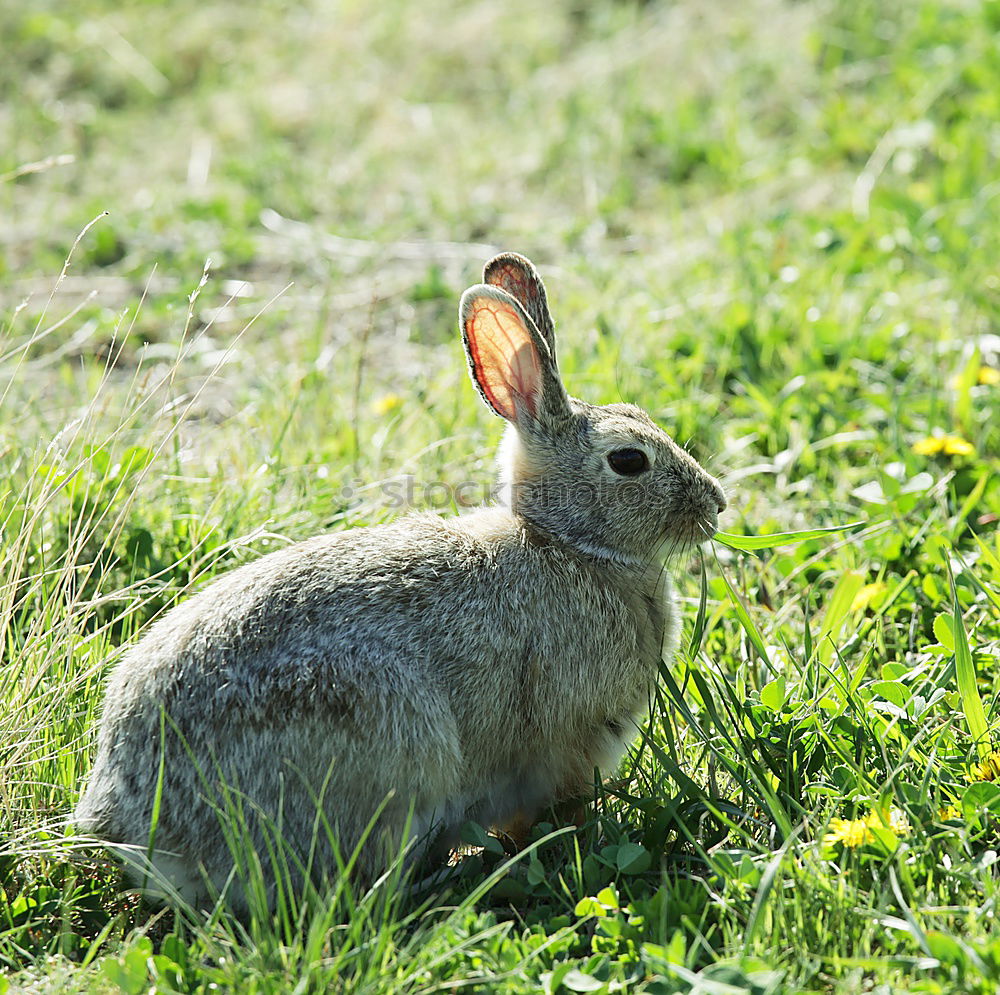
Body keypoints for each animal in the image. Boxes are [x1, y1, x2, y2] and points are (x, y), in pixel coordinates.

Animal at [72, 253, 728, 916]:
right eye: (628, 461)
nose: (716, 505)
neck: (567, 545)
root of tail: (134, 825)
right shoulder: (566, 745)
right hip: (384, 737)